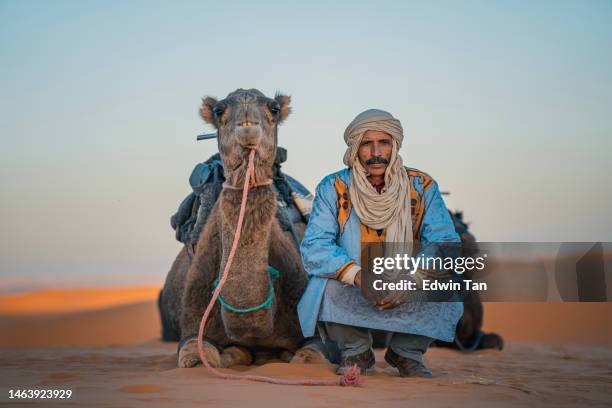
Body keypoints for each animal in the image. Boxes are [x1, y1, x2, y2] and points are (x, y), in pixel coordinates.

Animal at [158, 89, 322, 370]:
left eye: (274, 107)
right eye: (219, 110)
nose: (247, 117)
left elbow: (308, 357)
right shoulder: (192, 327)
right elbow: (195, 356)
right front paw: (233, 354)